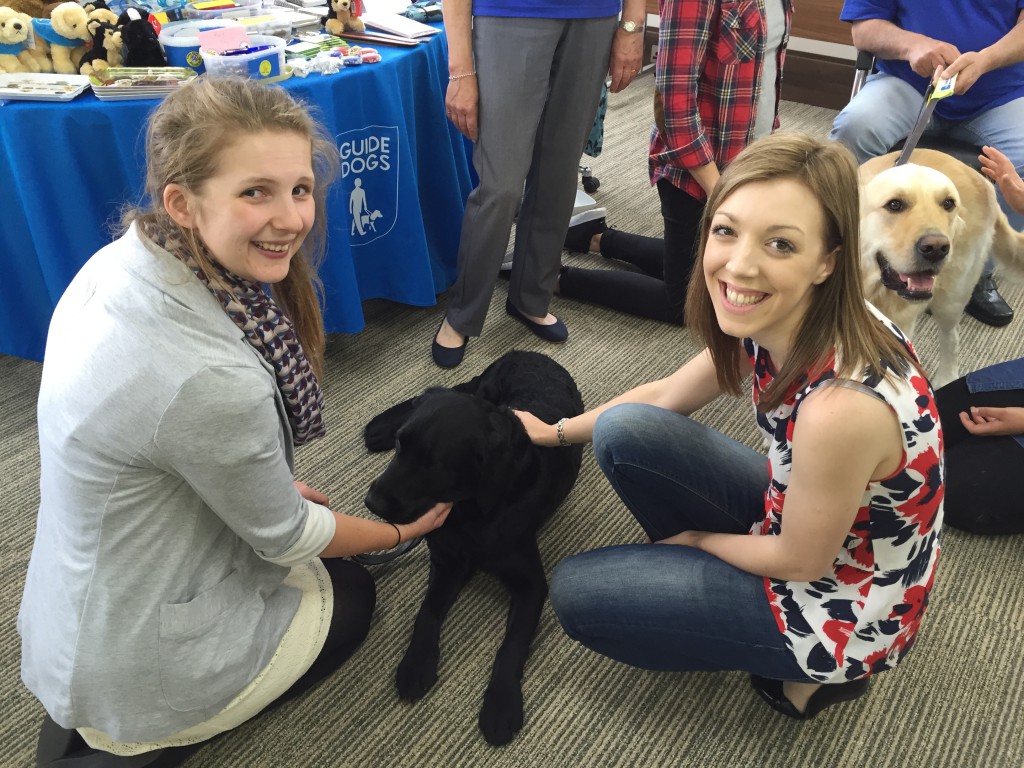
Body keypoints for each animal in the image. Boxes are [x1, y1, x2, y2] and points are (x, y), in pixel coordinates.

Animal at [362, 352, 585, 749]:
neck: (470, 514)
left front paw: (501, 704)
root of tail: (529, 353)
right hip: (484, 386)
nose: (371, 502)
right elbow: (426, 614)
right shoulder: (447, 562)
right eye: (401, 446)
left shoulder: (531, 584)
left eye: (433, 465)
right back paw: (379, 427)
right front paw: (416, 663)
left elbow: (511, 645)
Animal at [860, 148, 1019, 391]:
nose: (936, 248)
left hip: (952, 298)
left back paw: (946, 378)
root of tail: (982, 179)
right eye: (894, 204)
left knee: (951, 338)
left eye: (948, 203)